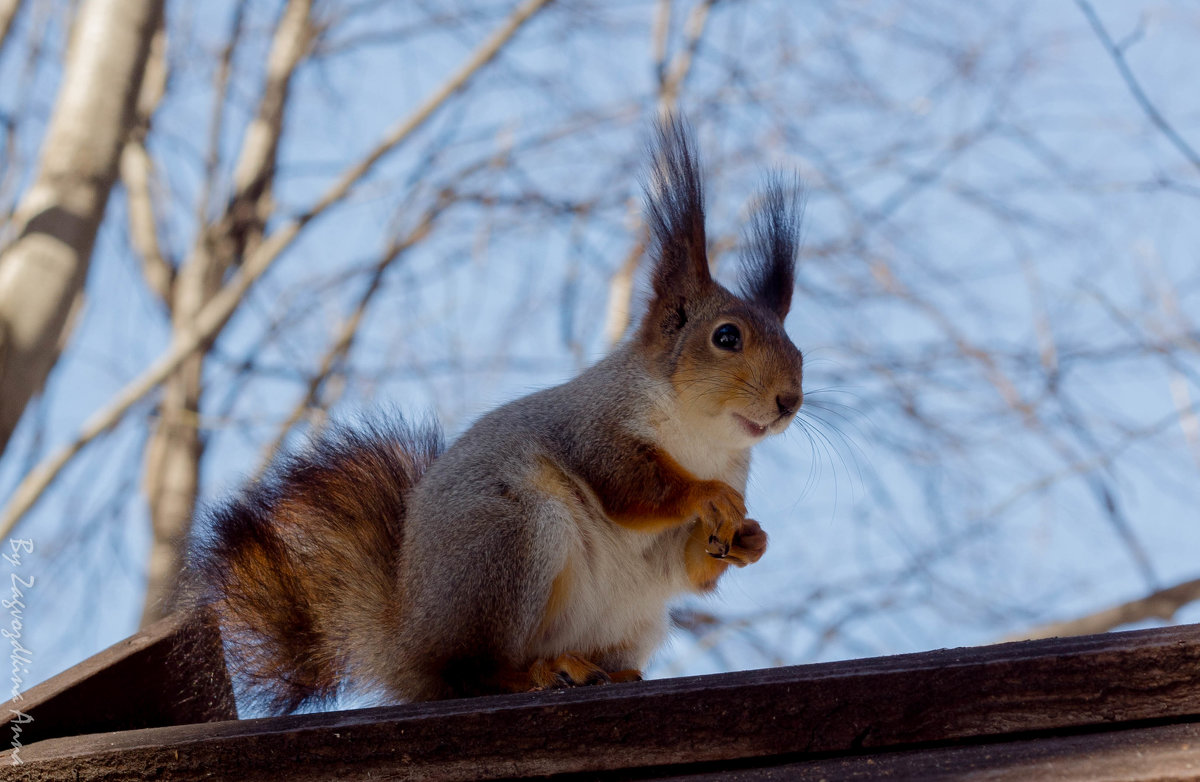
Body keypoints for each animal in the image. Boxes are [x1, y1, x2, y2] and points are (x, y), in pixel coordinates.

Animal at [189, 117, 806, 714]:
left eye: (797, 350)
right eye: (726, 337)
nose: (790, 402)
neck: (701, 439)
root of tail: (411, 645)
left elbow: (685, 564)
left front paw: (751, 539)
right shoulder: (593, 425)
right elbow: (630, 485)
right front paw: (703, 495)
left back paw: (605, 671)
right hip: (511, 542)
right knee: (471, 674)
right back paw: (539, 671)